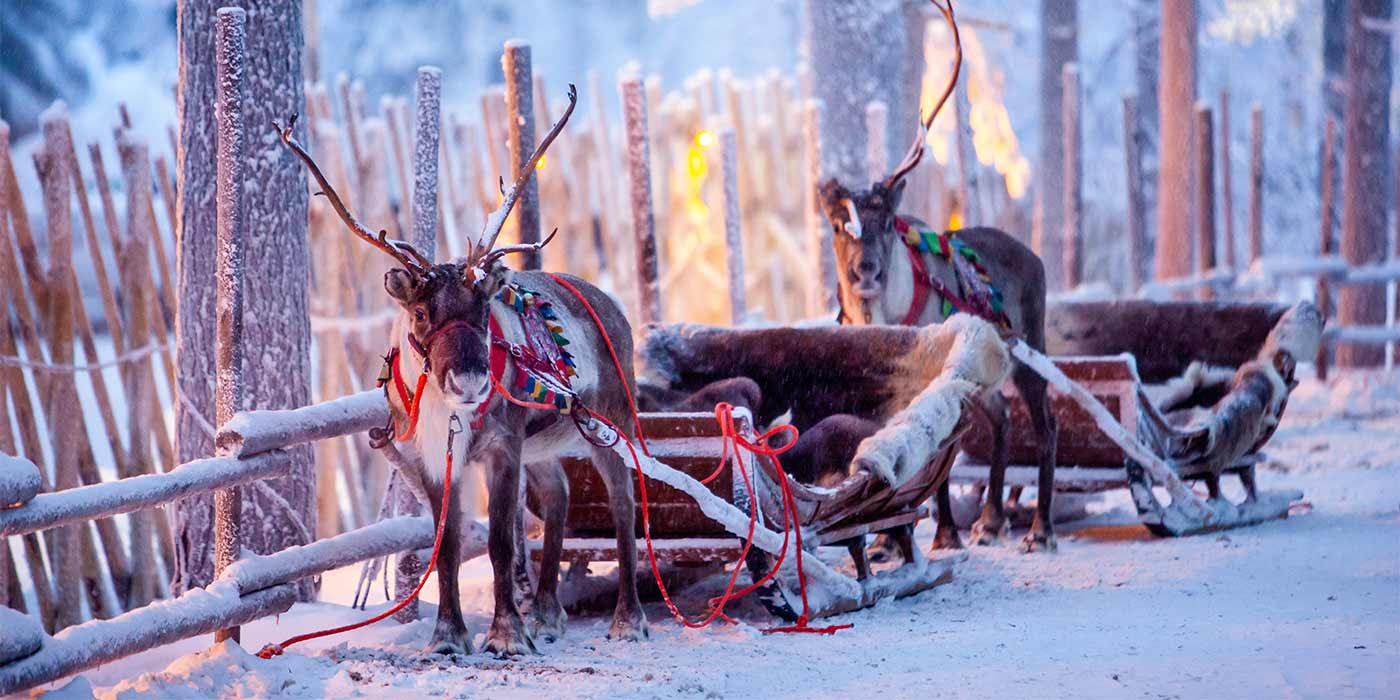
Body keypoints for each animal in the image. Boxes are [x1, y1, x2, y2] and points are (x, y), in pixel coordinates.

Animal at [275, 85, 650, 657]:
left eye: (482, 308)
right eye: (420, 312)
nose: (470, 382)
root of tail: (613, 305)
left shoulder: (502, 447)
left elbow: (499, 543)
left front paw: (506, 635)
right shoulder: (431, 457)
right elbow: (446, 547)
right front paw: (448, 635)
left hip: (610, 423)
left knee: (624, 503)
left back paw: (628, 619)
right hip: (544, 443)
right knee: (560, 493)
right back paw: (547, 615)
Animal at [816, 0, 1060, 553]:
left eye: (888, 221)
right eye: (838, 224)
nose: (865, 270)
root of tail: (1033, 255)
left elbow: (936, 457)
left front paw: (944, 533)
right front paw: (886, 540)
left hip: (1029, 348)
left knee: (1045, 423)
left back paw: (1039, 528)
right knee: (1003, 418)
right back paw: (990, 520)